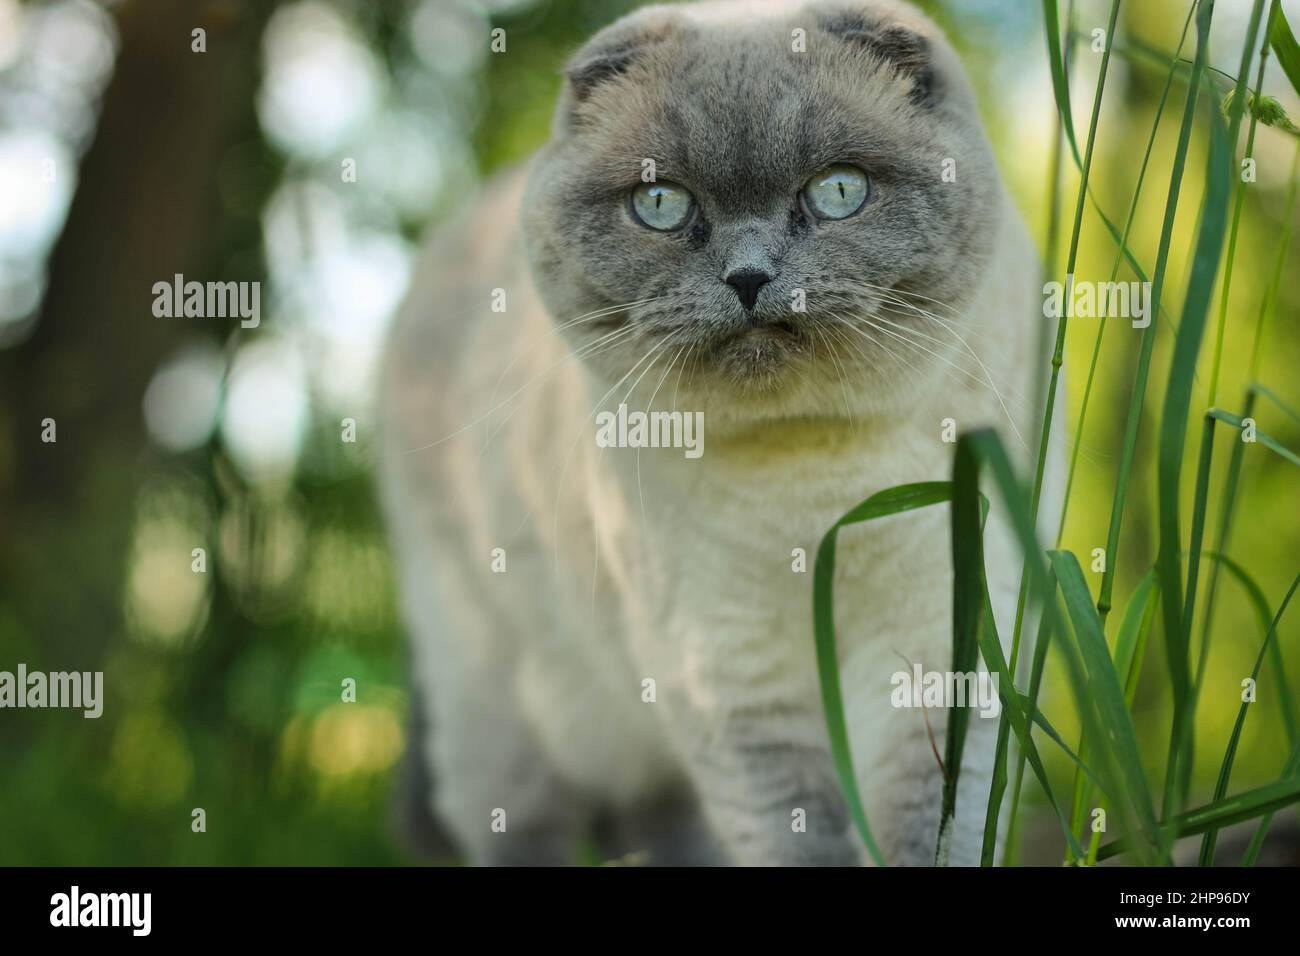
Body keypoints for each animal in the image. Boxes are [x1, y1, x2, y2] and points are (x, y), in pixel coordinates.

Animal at [374, 0, 1055, 868]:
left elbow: (929, 830)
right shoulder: (733, 684)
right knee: (524, 827)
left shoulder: (936, 648)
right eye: (661, 205)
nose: (750, 278)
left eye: (838, 191)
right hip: (501, 712)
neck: (810, 487)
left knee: (664, 827)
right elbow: (800, 839)